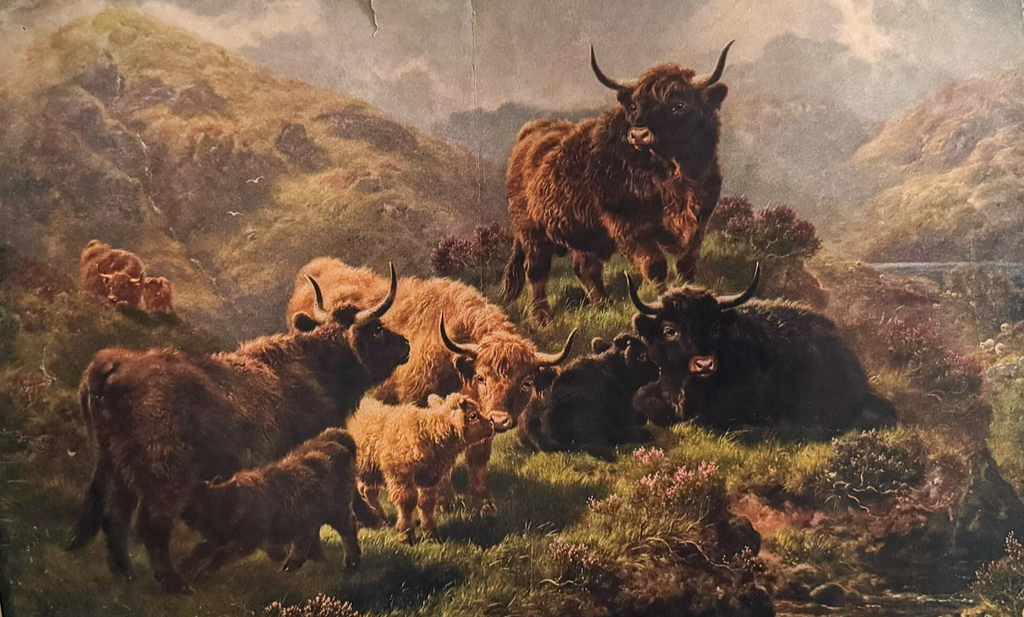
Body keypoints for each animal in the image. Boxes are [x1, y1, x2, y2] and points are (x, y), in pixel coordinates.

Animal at [66, 266, 409, 593]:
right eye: (378, 329)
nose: (406, 344)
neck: (314, 368)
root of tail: (114, 366)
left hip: (113, 467)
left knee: (113, 517)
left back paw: (125, 573)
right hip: (164, 471)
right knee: (149, 524)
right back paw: (176, 584)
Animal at [286, 257, 576, 515]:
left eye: (526, 382)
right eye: (482, 377)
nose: (501, 419)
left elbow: (478, 458)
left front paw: (484, 505)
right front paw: (445, 502)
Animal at [502, 43, 733, 323]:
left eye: (679, 104)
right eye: (634, 106)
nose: (638, 134)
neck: (673, 176)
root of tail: (531, 131)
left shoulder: (698, 222)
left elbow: (686, 265)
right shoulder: (630, 227)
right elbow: (655, 266)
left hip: (584, 232)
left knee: (585, 269)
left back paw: (602, 305)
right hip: (532, 231)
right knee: (536, 270)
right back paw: (542, 317)